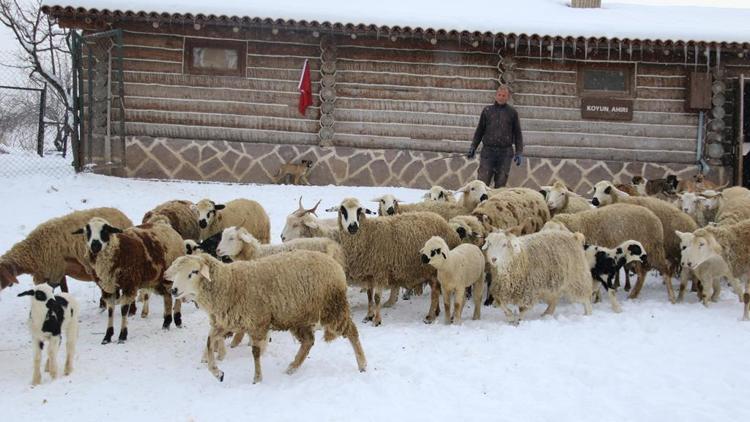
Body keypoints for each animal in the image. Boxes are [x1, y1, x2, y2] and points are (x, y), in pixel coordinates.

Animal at [338, 198, 462, 326]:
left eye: (359, 210)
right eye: (342, 210)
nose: (353, 227)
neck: (369, 234)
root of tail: (447, 226)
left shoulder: (380, 271)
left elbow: (377, 297)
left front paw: (377, 320)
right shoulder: (369, 273)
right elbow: (369, 296)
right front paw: (368, 316)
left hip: (433, 269)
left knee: (435, 292)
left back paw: (430, 317)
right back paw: (436, 312)